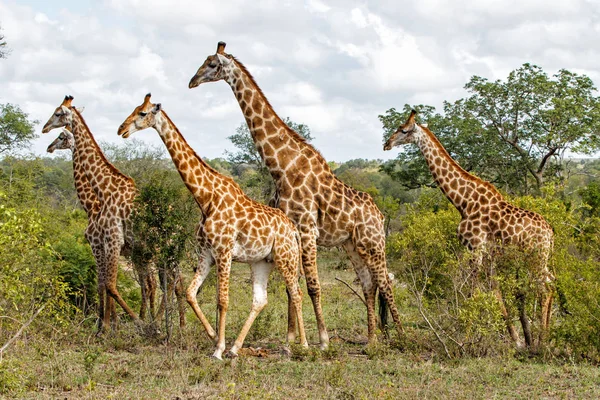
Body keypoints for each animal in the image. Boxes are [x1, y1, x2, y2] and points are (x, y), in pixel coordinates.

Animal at [42, 94, 141, 332]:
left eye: (58, 114)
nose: (44, 130)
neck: (94, 203)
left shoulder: (106, 241)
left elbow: (108, 284)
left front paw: (108, 326)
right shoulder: (104, 243)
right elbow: (104, 283)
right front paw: (106, 325)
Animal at [116, 94, 308, 360]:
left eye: (143, 113)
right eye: (134, 109)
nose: (121, 130)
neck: (205, 197)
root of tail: (293, 229)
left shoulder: (224, 251)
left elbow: (222, 300)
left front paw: (218, 349)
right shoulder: (206, 252)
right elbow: (190, 293)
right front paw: (214, 336)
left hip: (285, 257)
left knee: (296, 293)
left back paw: (303, 345)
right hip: (262, 261)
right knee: (260, 300)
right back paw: (236, 348)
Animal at [188, 39, 404, 346]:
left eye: (212, 64)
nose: (192, 81)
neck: (282, 166)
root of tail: (380, 213)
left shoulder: (306, 228)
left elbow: (312, 285)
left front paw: (322, 340)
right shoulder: (290, 230)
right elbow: (293, 284)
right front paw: (291, 338)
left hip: (373, 242)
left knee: (385, 281)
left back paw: (401, 335)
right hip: (351, 244)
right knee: (368, 283)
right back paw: (373, 338)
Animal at [384, 110, 552, 346]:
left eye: (404, 130)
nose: (387, 144)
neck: (463, 201)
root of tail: (551, 233)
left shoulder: (475, 246)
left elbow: (473, 289)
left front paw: (466, 335)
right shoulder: (488, 252)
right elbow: (494, 290)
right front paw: (516, 339)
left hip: (535, 257)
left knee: (544, 288)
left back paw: (542, 340)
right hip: (540, 258)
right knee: (551, 284)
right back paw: (544, 336)